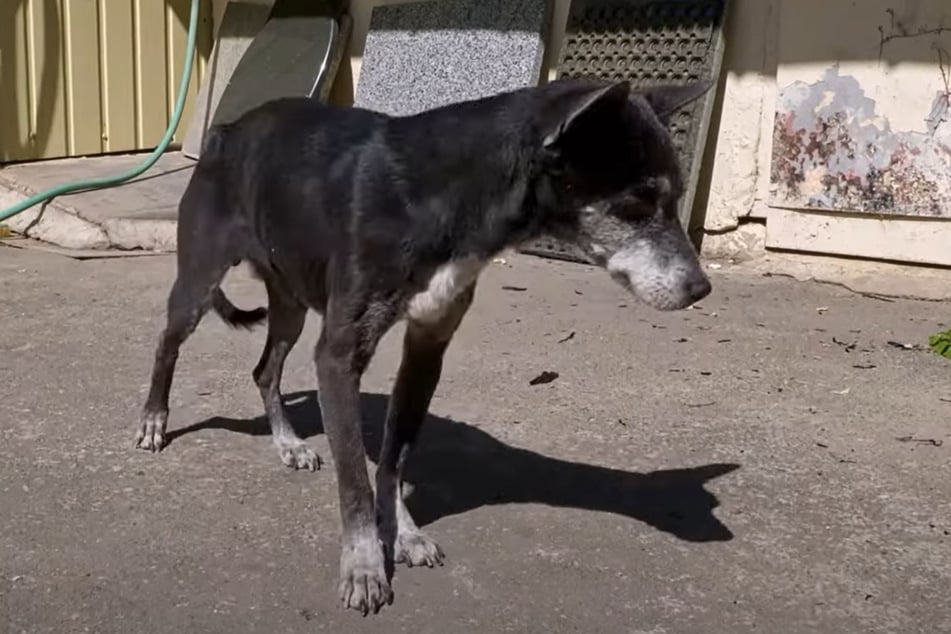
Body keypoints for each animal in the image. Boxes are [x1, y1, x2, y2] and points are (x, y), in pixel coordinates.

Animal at [136, 78, 712, 612]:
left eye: (676, 198)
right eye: (635, 203)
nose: (700, 289)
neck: (445, 195)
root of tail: (226, 132)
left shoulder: (427, 347)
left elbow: (393, 460)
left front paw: (403, 533)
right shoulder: (339, 356)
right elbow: (355, 479)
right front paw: (364, 565)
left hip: (291, 303)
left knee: (264, 370)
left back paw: (288, 444)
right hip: (199, 281)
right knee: (167, 343)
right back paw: (154, 421)